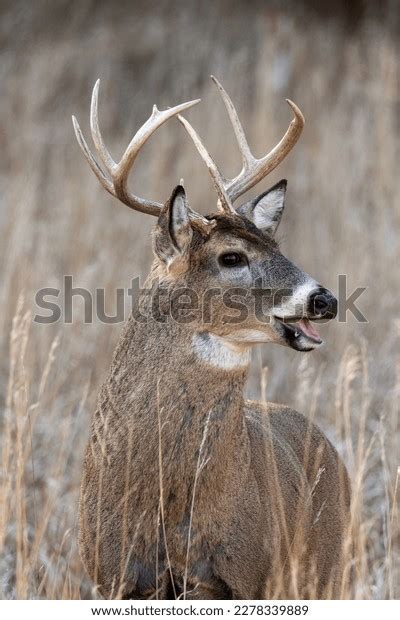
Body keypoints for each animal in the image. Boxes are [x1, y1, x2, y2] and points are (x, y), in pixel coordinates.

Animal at [72, 75, 350, 600]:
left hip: (326, 572)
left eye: (277, 245)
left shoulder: (242, 575)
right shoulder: (110, 573)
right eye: (232, 257)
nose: (324, 300)